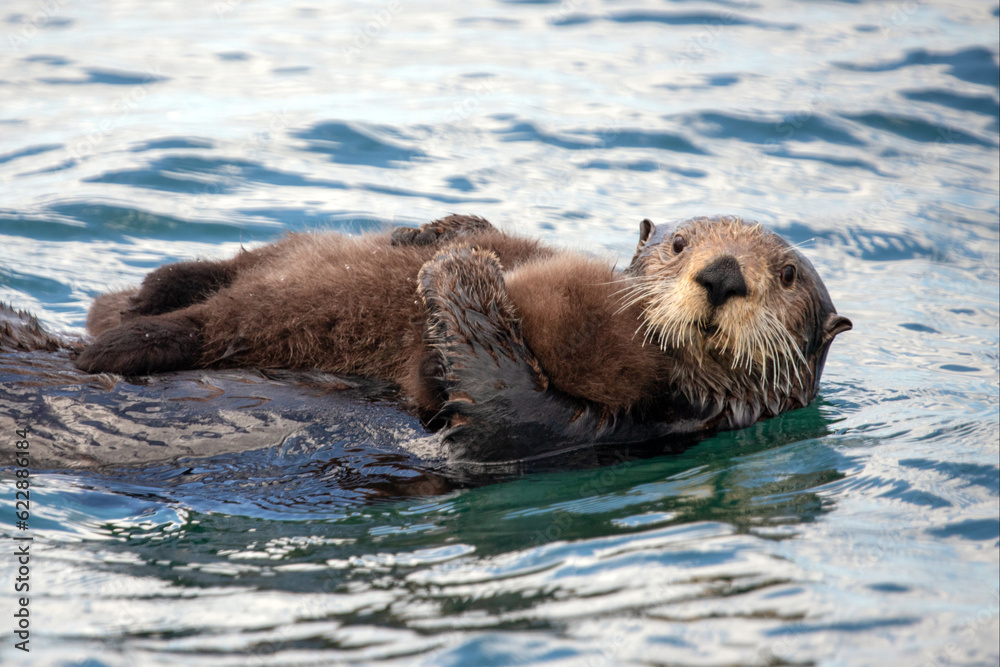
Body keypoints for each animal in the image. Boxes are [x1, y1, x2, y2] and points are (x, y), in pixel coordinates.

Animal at [74, 215, 851, 462]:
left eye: (786, 276)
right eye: (681, 243)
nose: (721, 275)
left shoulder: (585, 425)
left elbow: (482, 396)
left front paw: (458, 270)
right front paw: (436, 238)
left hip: (230, 318)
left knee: (196, 325)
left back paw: (111, 341)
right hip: (261, 266)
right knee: (217, 274)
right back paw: (136, 298)